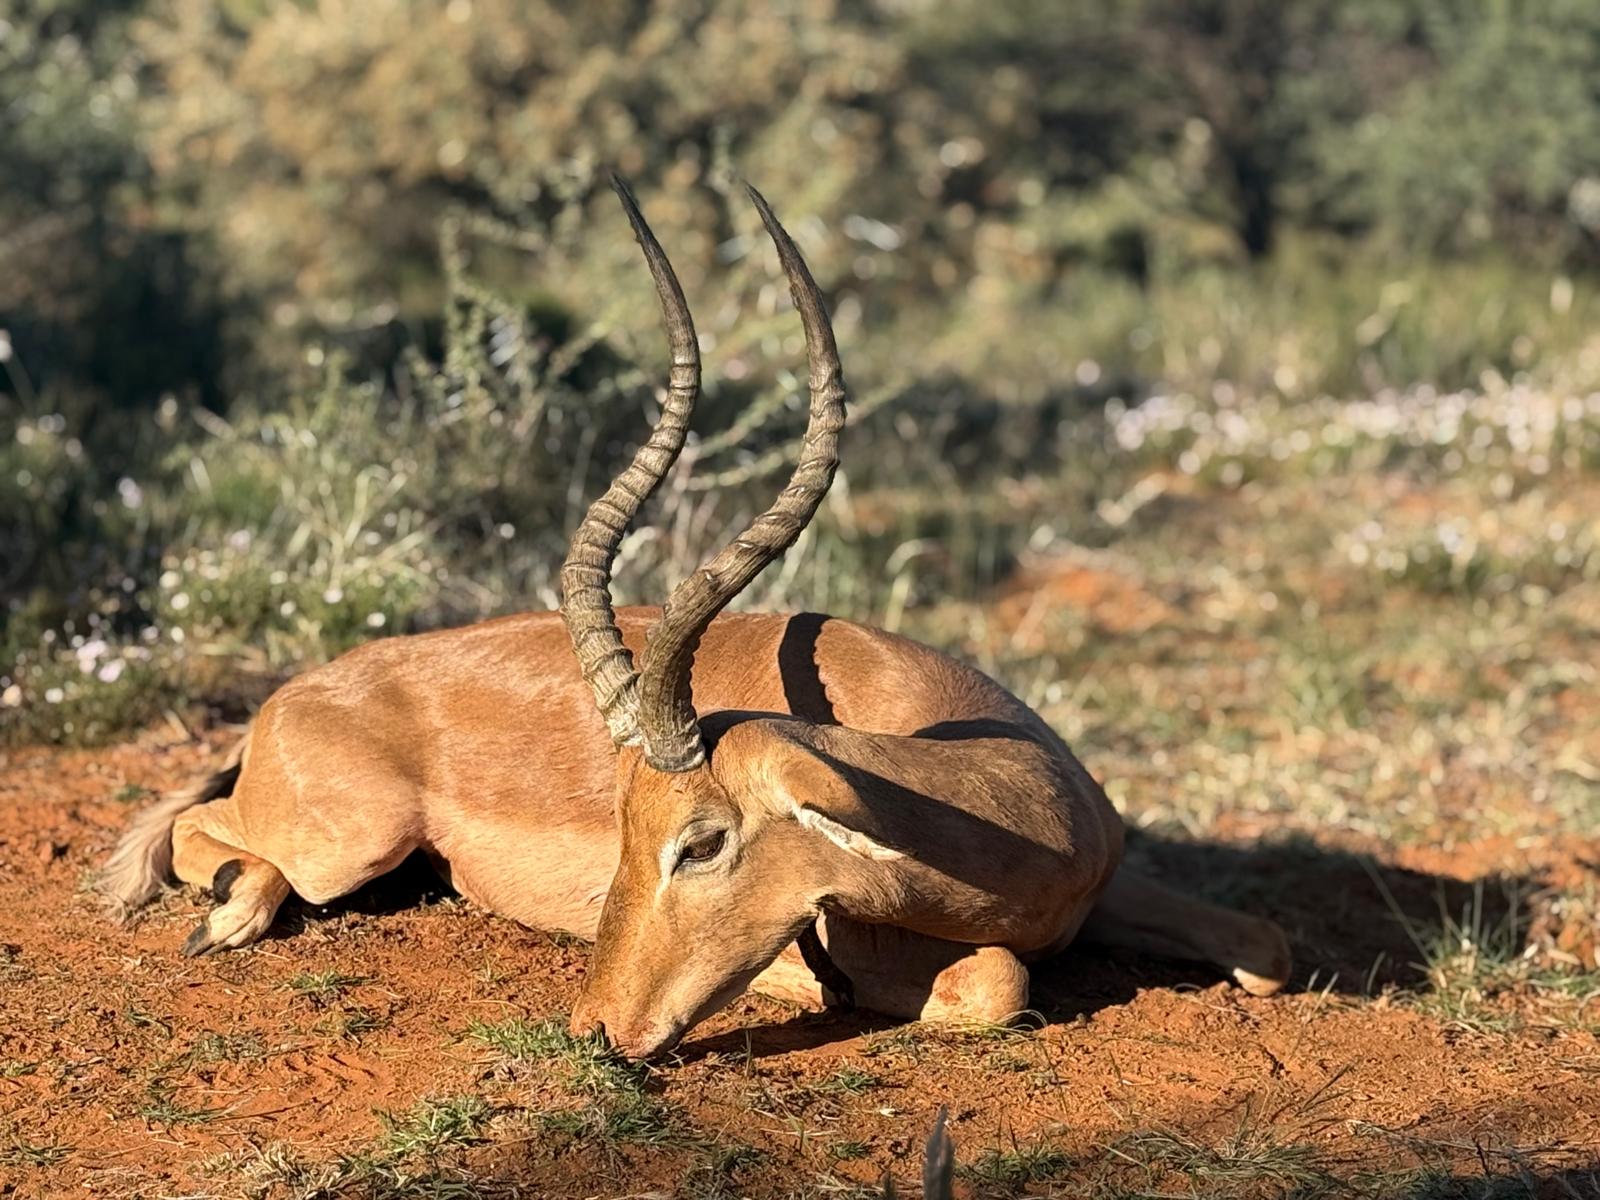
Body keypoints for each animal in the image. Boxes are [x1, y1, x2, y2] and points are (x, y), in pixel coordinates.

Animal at [103, 180, 1291, 1060]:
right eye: (625, 831)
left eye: (700, 841)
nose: (594, 1030)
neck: (1020, 814)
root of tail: (287, 700)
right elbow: (993, 982)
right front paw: (809, 986)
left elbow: (1265, 941)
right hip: (350, 845)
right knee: (212, 838)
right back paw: (224, 913)